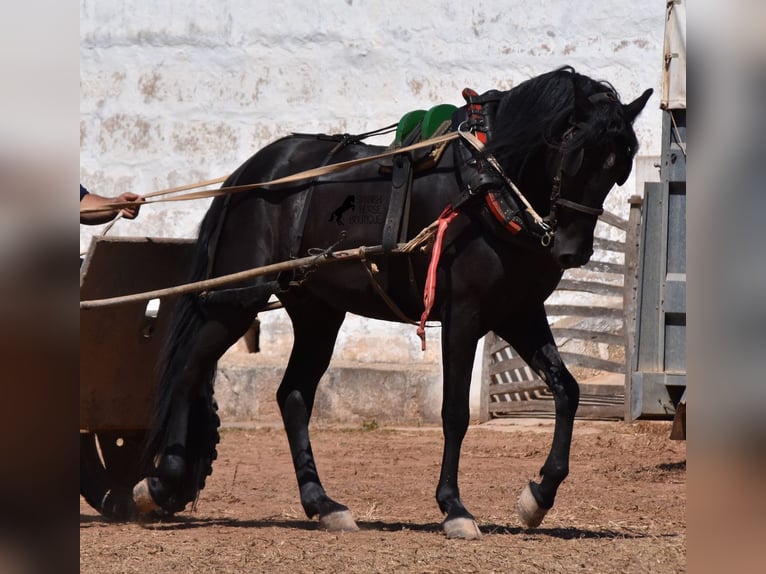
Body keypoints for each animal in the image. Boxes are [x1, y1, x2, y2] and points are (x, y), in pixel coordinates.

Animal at [135, 66, 652, 540]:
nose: (572, 250)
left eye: (619, 167)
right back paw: (163, 481)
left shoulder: (518, 312)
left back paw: (322, 503)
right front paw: (454, 507)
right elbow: (454, 412)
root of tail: (249, 174)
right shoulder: (464, 314)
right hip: (237, 299)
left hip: (317, 311)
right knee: (188, 370)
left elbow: (567, 390)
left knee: (293, 395)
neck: (487, 185)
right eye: (573, 151)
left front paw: (538, 496)